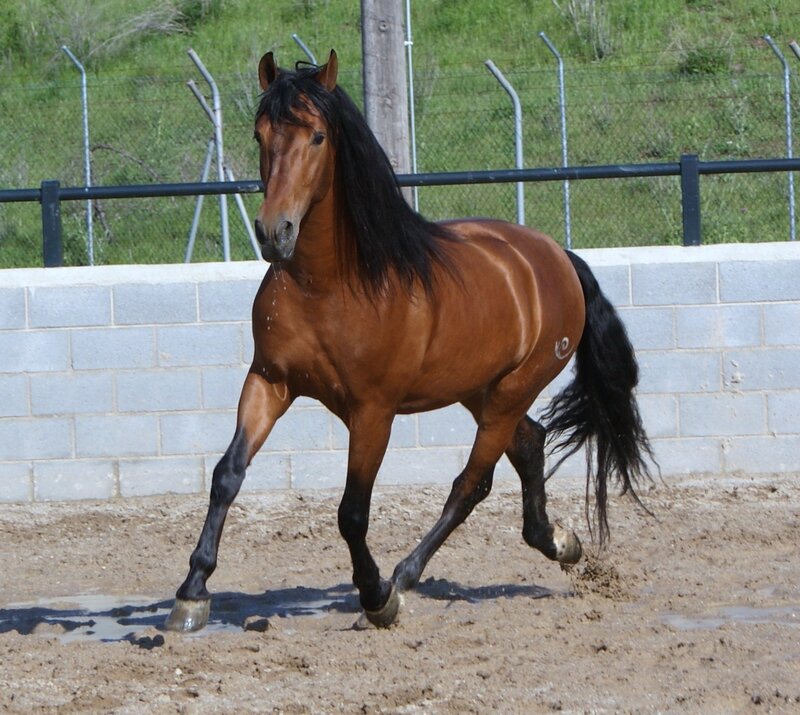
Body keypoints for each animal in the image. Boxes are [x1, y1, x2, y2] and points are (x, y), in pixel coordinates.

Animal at [165, 50, 654, 632]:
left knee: (471, 483)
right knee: (529, 445)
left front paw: (377, 597)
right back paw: (559, 541)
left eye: (317, 137)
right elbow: (227, 475)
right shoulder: (270, 381)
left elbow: (352, 511)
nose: (273, 232)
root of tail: (556, 256)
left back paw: (404, 577)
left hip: (514, 388)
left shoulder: (373, 411)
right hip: (479, 388)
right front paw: (192, 593)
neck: (329, 285)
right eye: (261, 134)